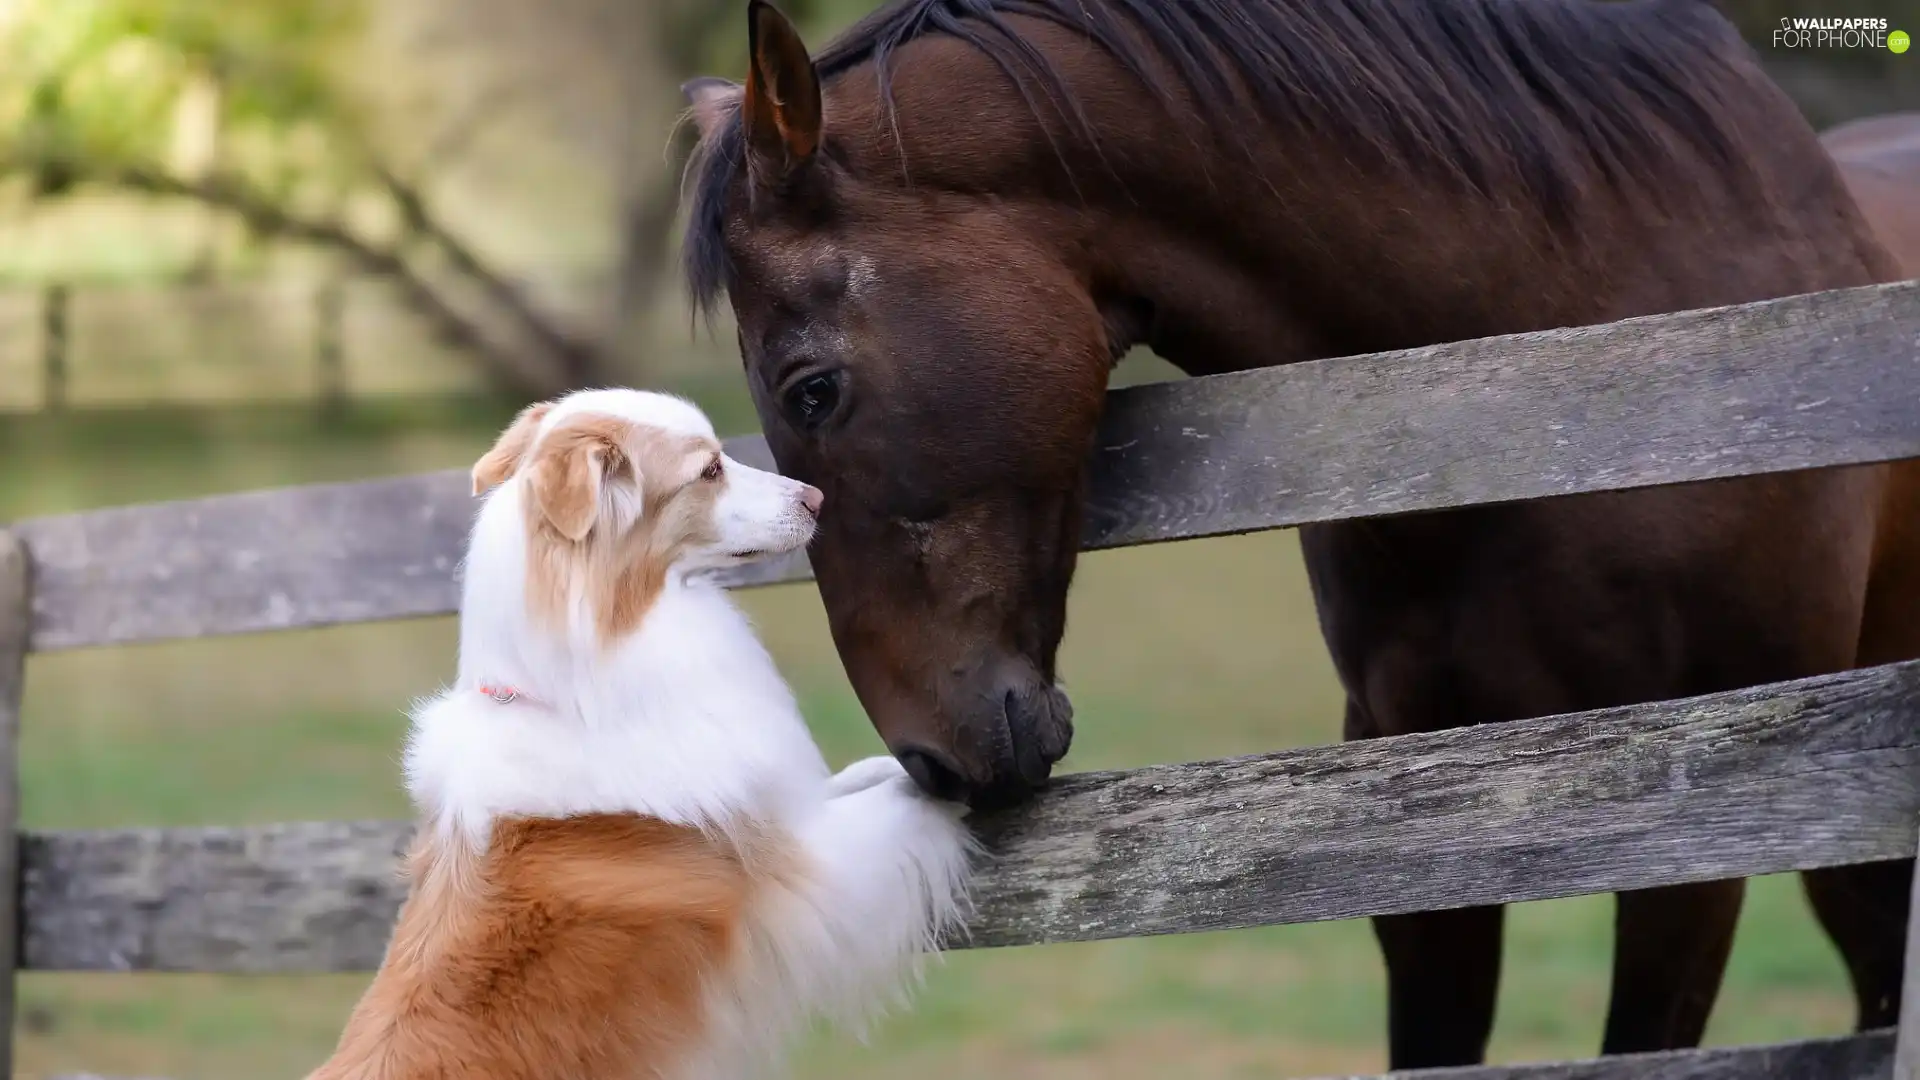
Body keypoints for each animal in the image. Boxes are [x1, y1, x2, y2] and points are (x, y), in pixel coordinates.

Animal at [312, 386, 983, 1076]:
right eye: (709, 470)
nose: (816, 498)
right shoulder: (799, 872)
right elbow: (895, 805)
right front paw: (942, 786)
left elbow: (850, 779)